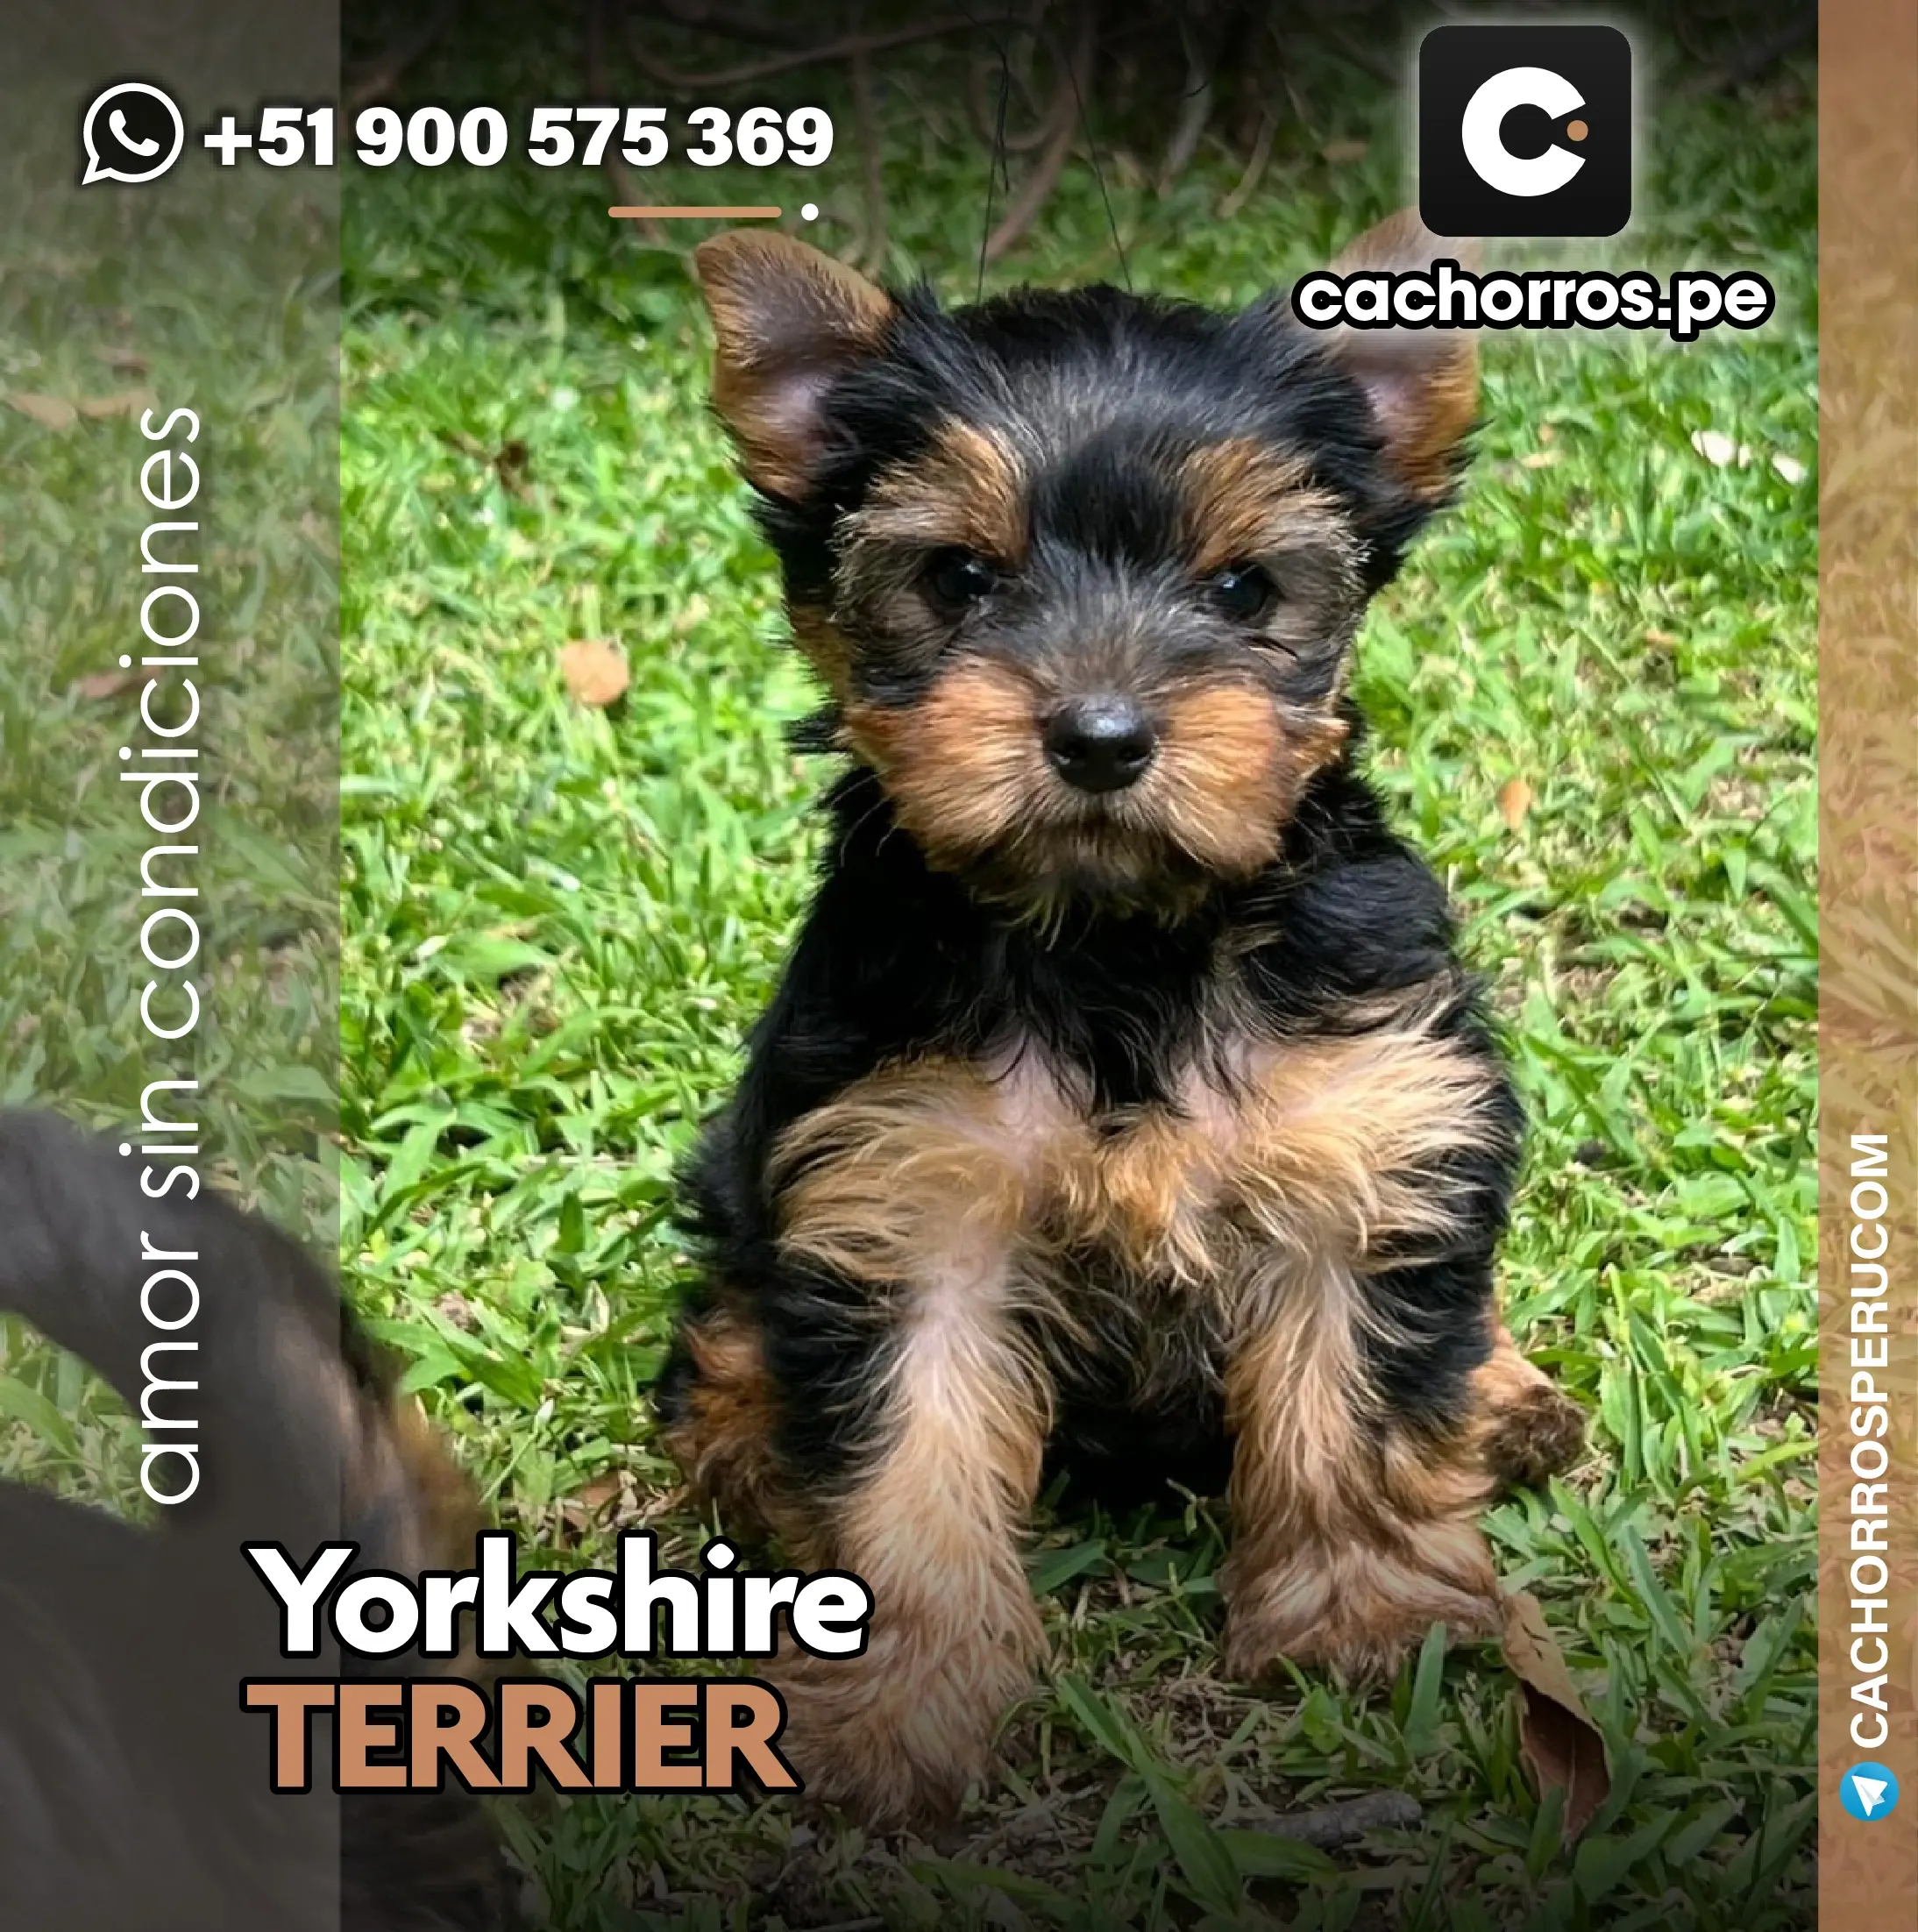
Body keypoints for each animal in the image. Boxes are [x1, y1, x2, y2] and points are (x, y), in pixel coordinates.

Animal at [653, 212, 1586, 1832]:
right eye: (959, 578)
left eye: (1241, 592)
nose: (1098, 734)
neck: (1118, 936)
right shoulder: (902, 1191)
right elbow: (907, 1462)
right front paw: (897, 1711)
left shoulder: (1370, 1124)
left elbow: (1353, 1402)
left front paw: (1360, 1622)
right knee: (730, 1311)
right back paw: (739, 1440)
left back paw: (1505, 1389)